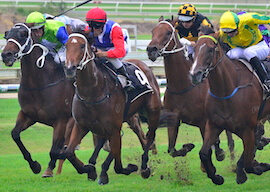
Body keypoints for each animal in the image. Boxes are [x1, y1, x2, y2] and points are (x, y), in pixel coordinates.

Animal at [62, 31, 161, 184]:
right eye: (66, 45)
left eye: (82, 45)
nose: (69, 68)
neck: (93, 92)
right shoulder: (81, 125)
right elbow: (68, 153)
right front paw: (88, 169)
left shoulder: (114, 128)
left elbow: (118, 166)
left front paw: (127, 168)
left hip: (152, 112)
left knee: (148, 137)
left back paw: (144, 167)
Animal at [146, 16, 234, 160]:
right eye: (153, 31)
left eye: (168, 32)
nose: (151, 49)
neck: (182, 86)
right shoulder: (174, 120)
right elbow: (171, 150)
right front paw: (186, 147)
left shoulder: (204, 122)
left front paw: (217, 154)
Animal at [190, 25, 270, 184]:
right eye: (194, 49)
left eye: (210, 49)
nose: (195, 75)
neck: (226, 91)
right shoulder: (214, 125)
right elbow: (204, 153)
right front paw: (216, 177)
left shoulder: (248, 129)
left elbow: (249, 163)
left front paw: (259, 167)